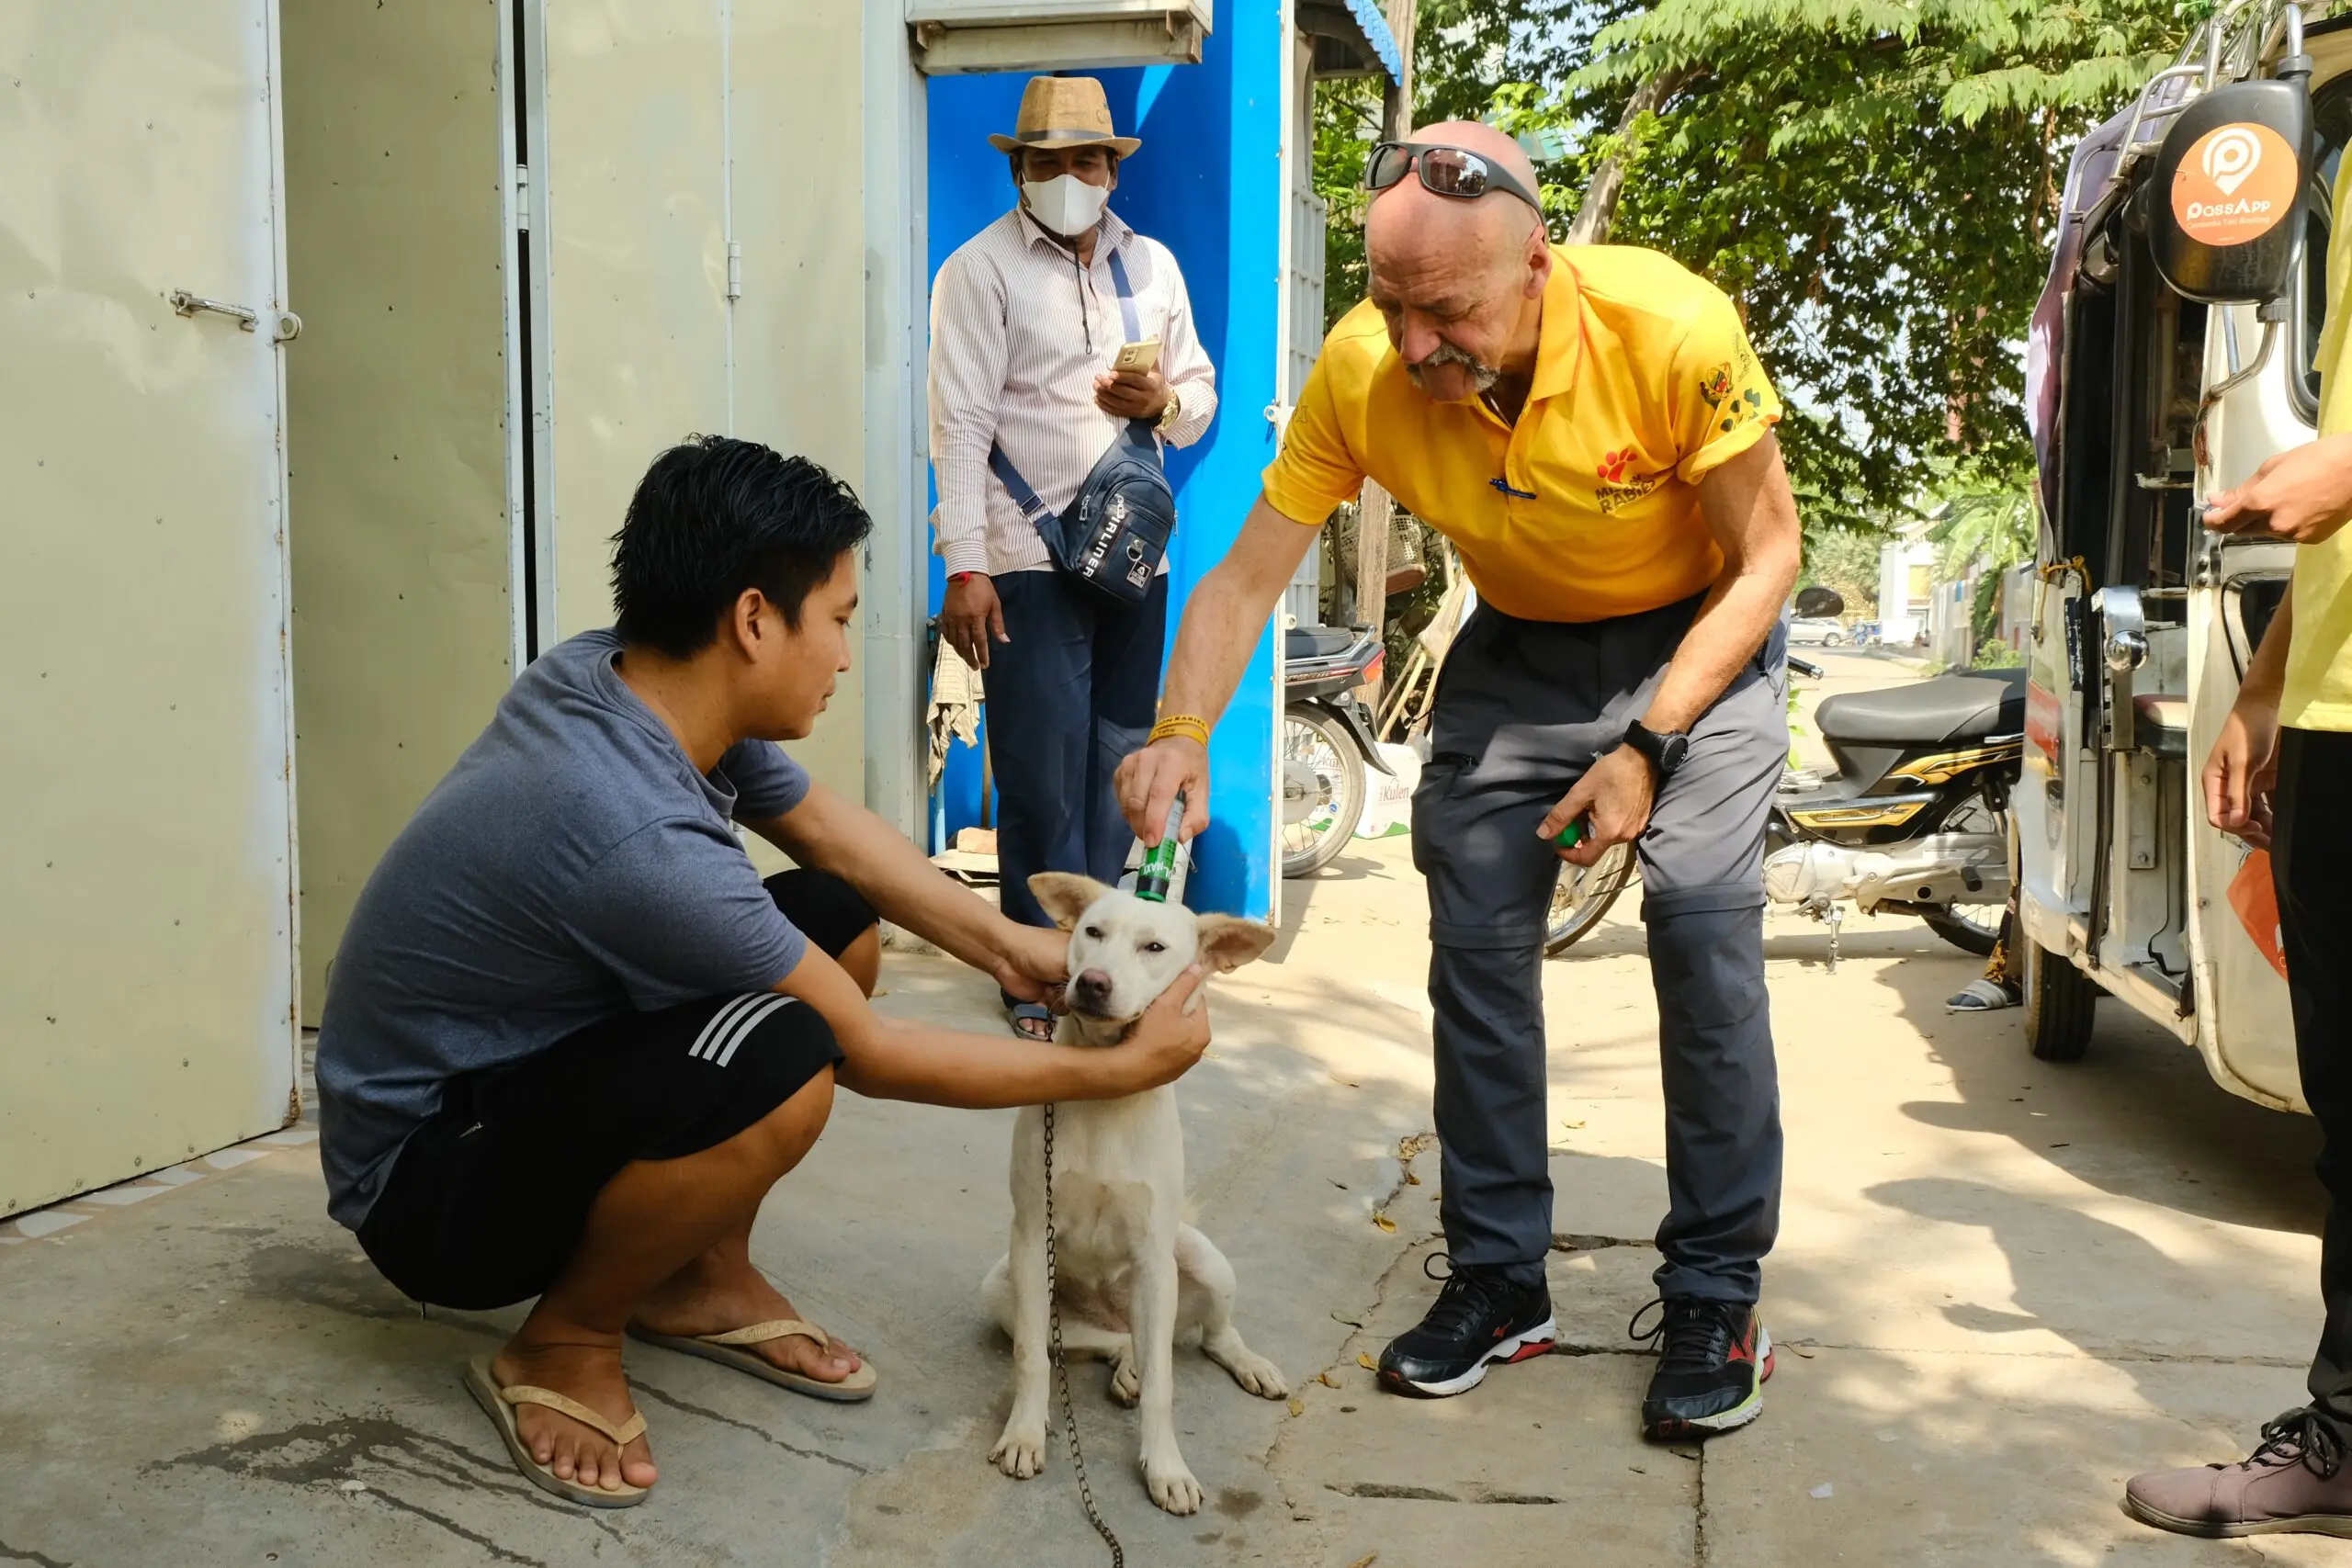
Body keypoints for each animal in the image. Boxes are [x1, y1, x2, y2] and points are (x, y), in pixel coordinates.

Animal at [988, 879, 1298, 1514]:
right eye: (1092, 932)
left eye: (1154, 947)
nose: (1092, 983)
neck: (1106, 1089)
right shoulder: (1031, 1236)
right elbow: (1031, 1357)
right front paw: (1026, 1432)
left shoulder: (1156, 1259)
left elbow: (1164, 1384)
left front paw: (1166, 1468)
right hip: (1004, 1285)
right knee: (1103, 1343)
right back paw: (1123, 1363)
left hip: (1201, 1262)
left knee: (1206, 1337)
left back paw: (1245, 1364)